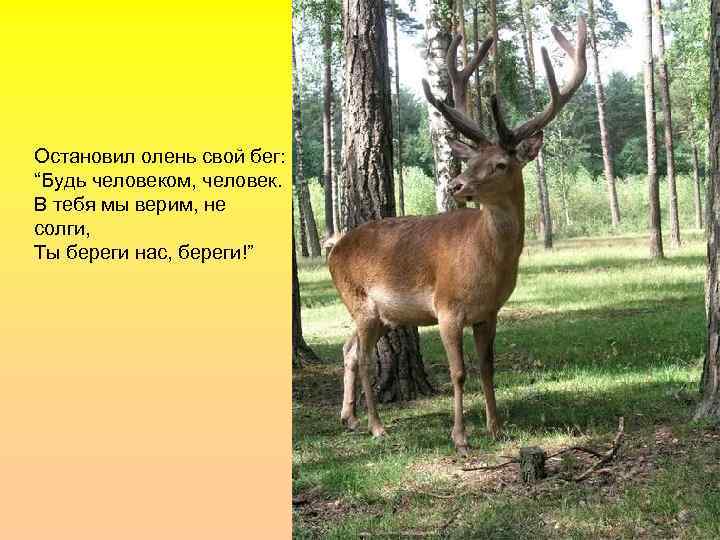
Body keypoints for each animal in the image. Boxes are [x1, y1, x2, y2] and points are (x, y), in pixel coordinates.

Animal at [327, 18, 587, 454]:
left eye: (500, 164)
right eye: (471, 158)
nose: (456, 183)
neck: (486, 263)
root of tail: (334, 247)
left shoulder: (489, 312)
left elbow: (487, 367)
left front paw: (496, 427)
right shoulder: (447, 307)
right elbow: (458, 371)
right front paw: (461, 436)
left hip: (383, 314)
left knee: (348, 350)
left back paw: (349, 418)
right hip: (358, 300)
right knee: (362, 357)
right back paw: (377, 427)